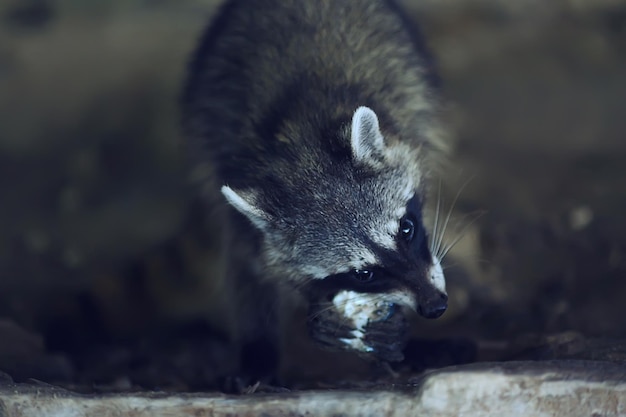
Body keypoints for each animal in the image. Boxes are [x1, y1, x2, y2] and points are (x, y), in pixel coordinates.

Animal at [180, 0, 448, 380]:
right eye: (363, 274)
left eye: (407, 229)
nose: (435, 306)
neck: (301, 147)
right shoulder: (230, 180)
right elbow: (250, 265)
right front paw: (263, 342)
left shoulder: (411, 122)